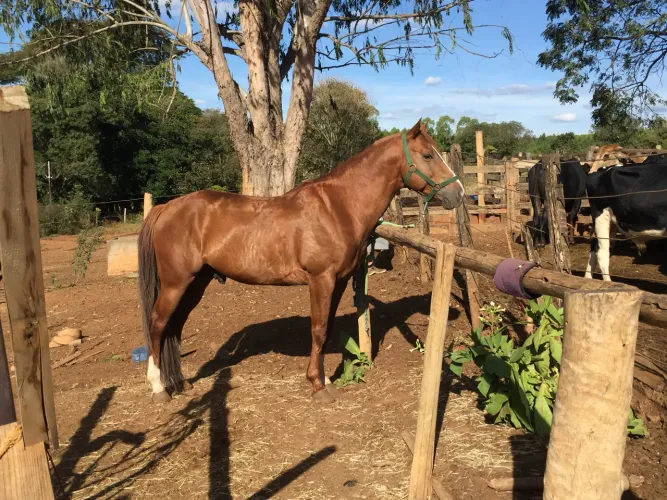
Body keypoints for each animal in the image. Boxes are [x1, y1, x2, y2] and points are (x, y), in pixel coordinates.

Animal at [138, 119, 464, 404]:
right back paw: (158, 388)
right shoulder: (321, 279)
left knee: (175, 326)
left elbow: (327, 329)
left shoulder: (339, 281)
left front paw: (325, 379)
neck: (339, 207)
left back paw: (180, 382)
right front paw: (317, 386)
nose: (458, 193)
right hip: (175, 283)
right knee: (158, 323)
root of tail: (167, 207)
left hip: (197, 282)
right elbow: (318, 329)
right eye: (427, 155)